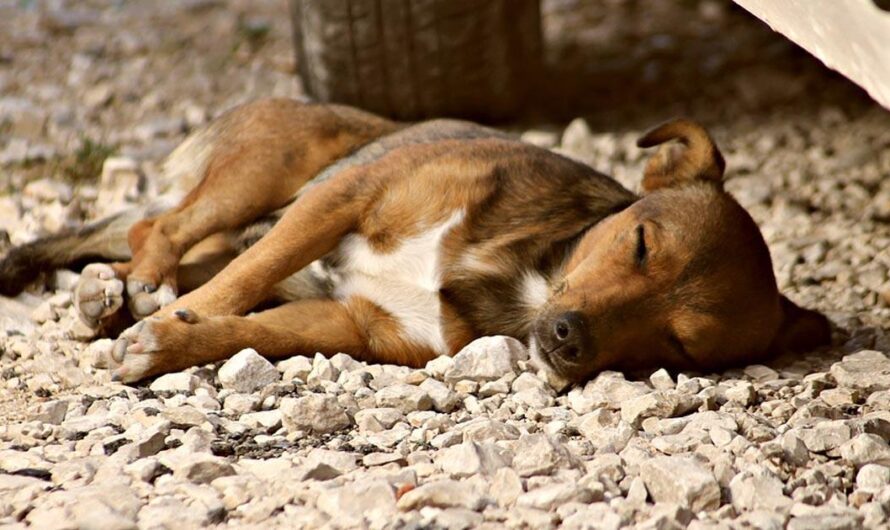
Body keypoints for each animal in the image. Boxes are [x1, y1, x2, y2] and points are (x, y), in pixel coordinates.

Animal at [1, 98, 832, 380]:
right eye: (639, 244)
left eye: (681, 345)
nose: (568, 340)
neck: (525, 275)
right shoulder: (344, 196)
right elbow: (238, 287)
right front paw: (171, 320)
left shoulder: (356, 325)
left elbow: (247, 330)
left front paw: (169, 342)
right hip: (276, 171)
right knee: (165, 226)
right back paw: (134, 287)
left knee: (167, 239)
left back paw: (108, 296)